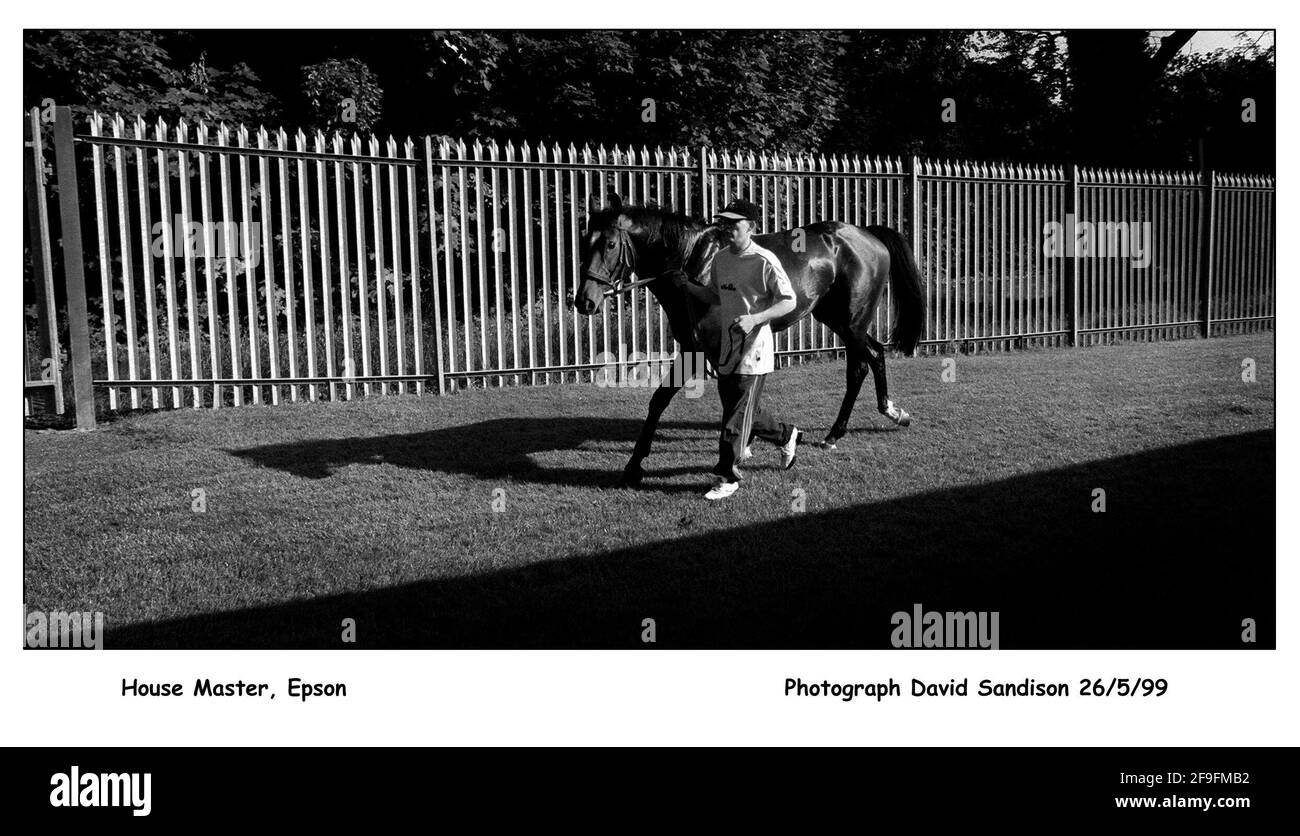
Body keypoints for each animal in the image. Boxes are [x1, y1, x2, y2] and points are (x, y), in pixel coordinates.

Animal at [572, 193, 925, 486]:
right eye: (584, 241)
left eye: (610, 245)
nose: (584, 301)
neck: (693, 262)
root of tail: (866, 235)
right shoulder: (693, 348)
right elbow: (662, 400)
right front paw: (634, 465)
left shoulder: (708, 350)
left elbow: (721, 398)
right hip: (837, 319)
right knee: (875, 354)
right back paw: (892, 412)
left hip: (852, 322)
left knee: (858, 368)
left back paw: (837, 433)